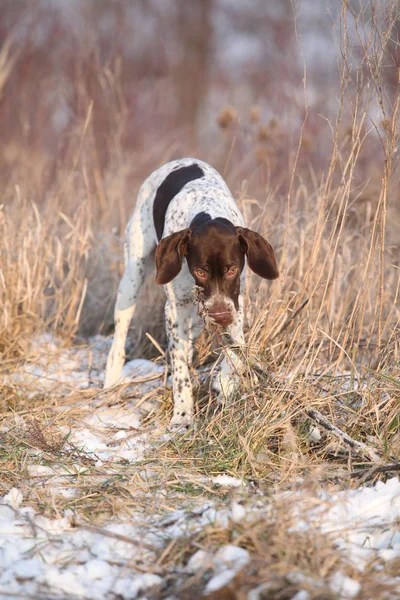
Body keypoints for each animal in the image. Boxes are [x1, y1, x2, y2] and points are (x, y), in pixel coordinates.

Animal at [103, 159, 278, 428]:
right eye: (200, 271)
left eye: (232, 270)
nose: (219, 316)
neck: (207, 210)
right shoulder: (175, 311)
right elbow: (180, 372)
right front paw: (183, 416)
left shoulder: (235, 304)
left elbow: (236, 348)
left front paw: (225, 383)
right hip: (132, 279)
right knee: (120, 339)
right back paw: (111, 382)